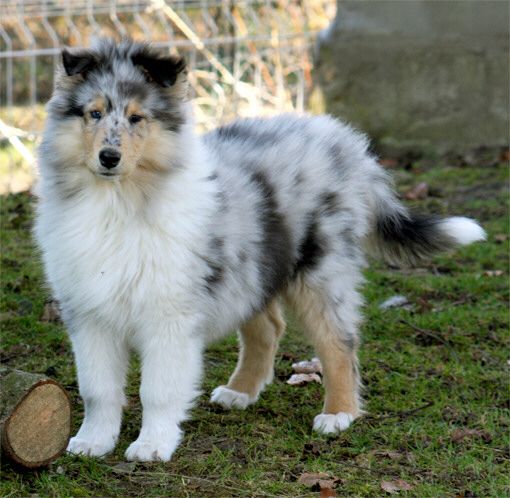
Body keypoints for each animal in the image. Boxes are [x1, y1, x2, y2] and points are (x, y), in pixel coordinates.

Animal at [34, 39, 486, 462]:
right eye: (93, 114)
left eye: (136, 118)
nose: (109, 157)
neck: (119, 201)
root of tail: (347, 142)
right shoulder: (89, 314)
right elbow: (98, 389)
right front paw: (92, 441)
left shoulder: (169, 315)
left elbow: (158, 390)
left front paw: (152, 446)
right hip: (252, 268)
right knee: (267, 328)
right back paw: (240, 392)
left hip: (322, 271)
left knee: (339, 342)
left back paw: (338, 413)